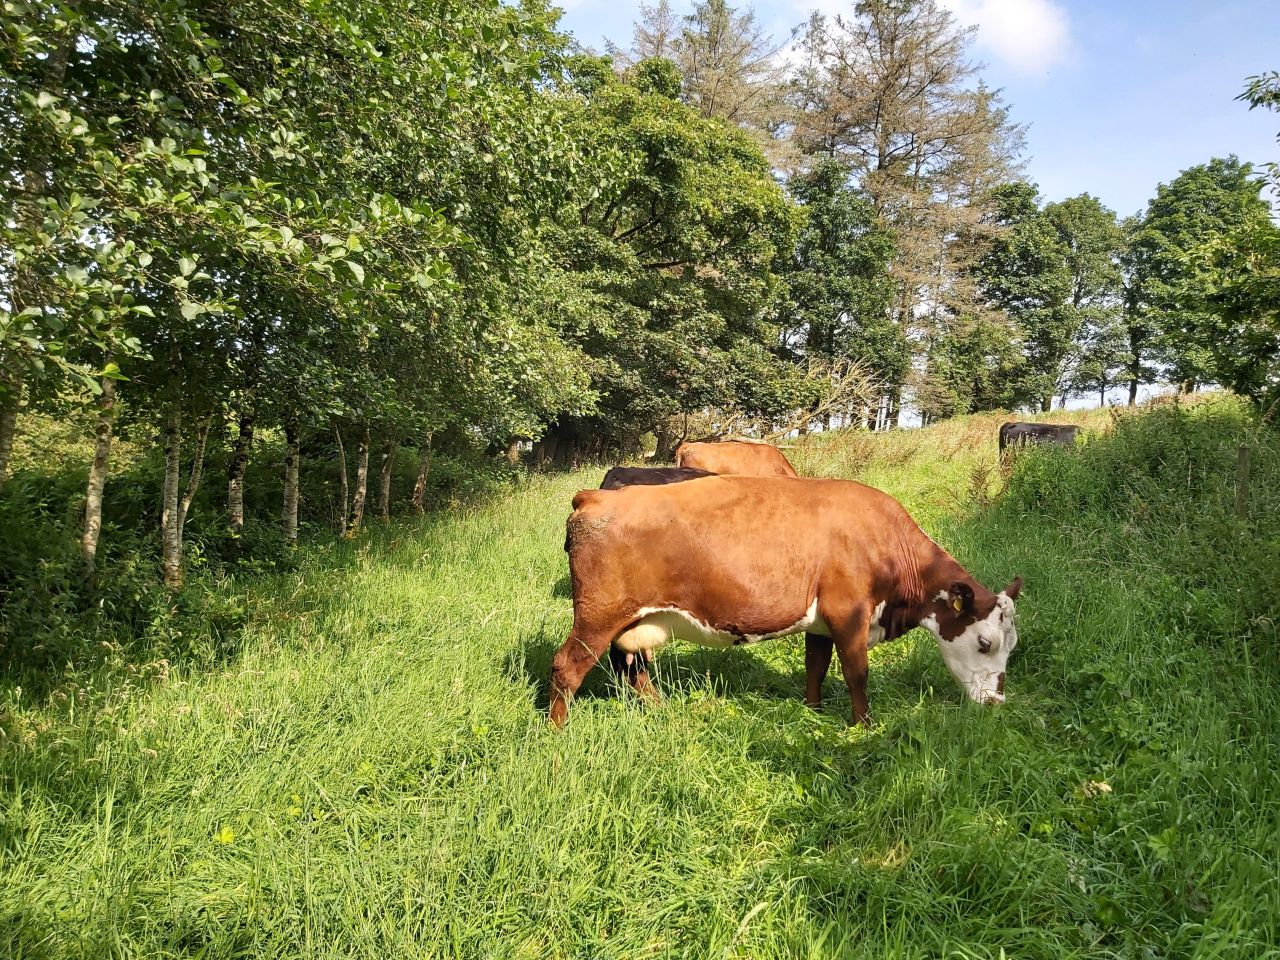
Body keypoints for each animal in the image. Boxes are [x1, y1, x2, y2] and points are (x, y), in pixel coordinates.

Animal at [550, 475, 1023, 727]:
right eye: (984, 642)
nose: (997, 704)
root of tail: (596, 495)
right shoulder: (848, 613)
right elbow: (857, 674)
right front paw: (864, 726)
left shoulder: (822, 622)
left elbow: (816, 666)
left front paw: (813, 711)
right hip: (598, 615)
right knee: (567, 666)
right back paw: (558, 730)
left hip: (631, 619)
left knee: (631, 668)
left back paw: (663, 711)